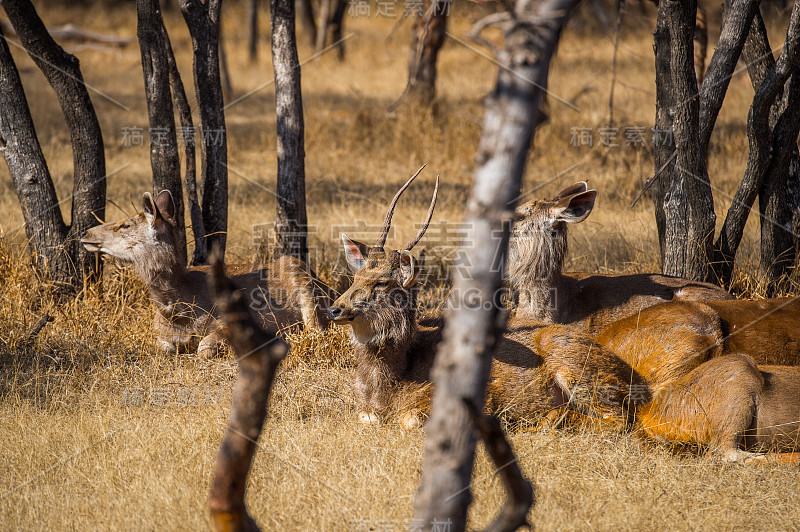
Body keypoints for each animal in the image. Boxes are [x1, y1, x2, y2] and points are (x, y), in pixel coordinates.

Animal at [81, 189, 332, 356]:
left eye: (124, 225)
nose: (86, 233)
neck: (179, 311)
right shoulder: (160, 334)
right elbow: (164, 347)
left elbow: (205, 347)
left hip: (302, 278)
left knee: (317, 331)